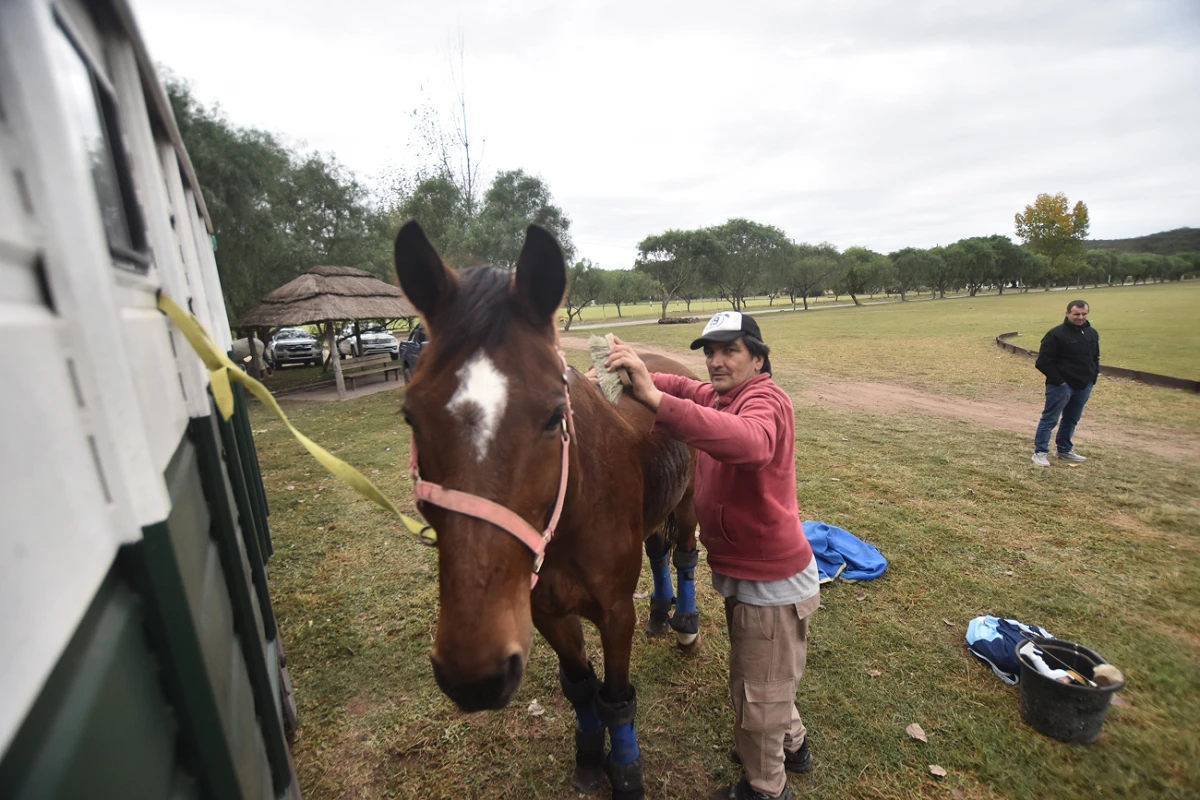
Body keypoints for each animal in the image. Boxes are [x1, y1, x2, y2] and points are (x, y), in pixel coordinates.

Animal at [393, 221, 700, 800]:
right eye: (410, 417)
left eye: (555, 415)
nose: (474, 675)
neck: (573, 513)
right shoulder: (546, 613)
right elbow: (581, 688)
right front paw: (589, 757)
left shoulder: (614, 613)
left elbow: (615, 695)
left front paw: (626, 769)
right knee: (659, 550)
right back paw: (660, 611)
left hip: (690, 503)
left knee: (685, 555)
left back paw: (684, 623)